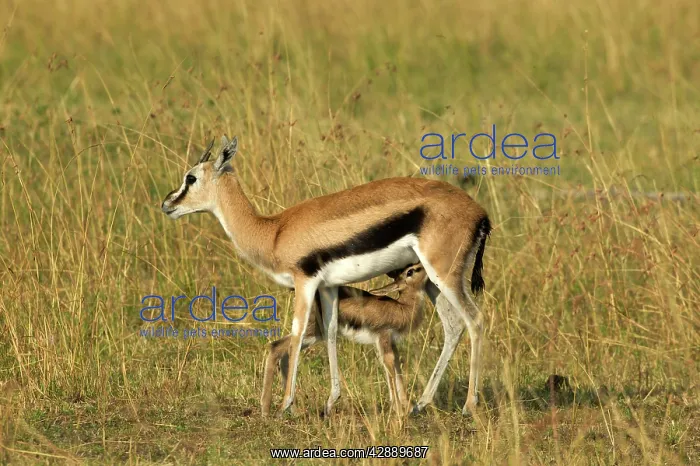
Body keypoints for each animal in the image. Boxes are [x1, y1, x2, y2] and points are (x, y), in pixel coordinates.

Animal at [261, 263, 429, 417]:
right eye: (410, 271)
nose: (425, 265)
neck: (403, 307)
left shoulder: (391, 343)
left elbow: (397, 367)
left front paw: (408, 407)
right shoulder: (383, 339)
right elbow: (390, 366)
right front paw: (400, 411)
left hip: (314, 336)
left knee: (279, 349)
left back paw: (287, 410)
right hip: (312, 332)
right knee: (279, 347)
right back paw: (269, 410)